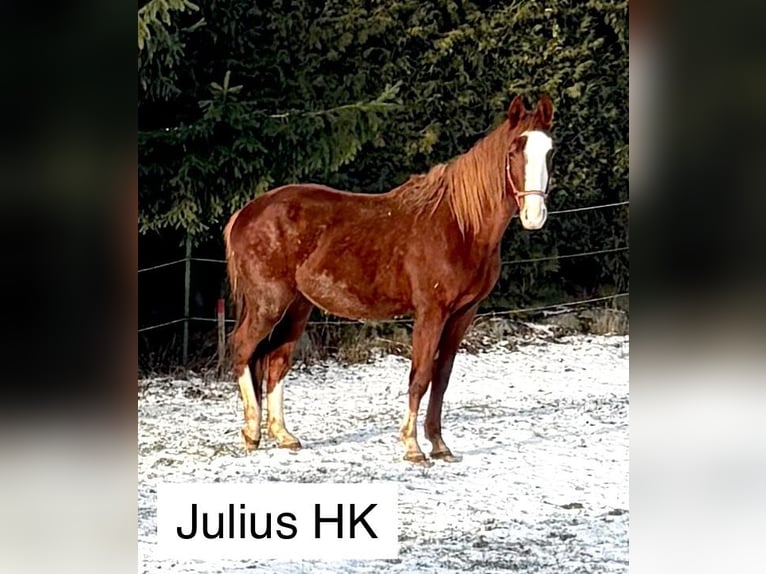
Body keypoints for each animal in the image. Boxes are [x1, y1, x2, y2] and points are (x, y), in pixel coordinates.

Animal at [223, 94, 554, 464]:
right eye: (514, 150)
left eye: (549, 151)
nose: (534, 216)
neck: (460, 226)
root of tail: (246, 213)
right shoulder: (430, 313)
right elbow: (420, 376)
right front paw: (412, 446)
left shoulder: (462, 315)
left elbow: (442, 378)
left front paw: (439, 445)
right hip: (269, 304)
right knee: (242, 348)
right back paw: (252, 433)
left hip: (297, 306)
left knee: (277, 361)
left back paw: (283, 435)